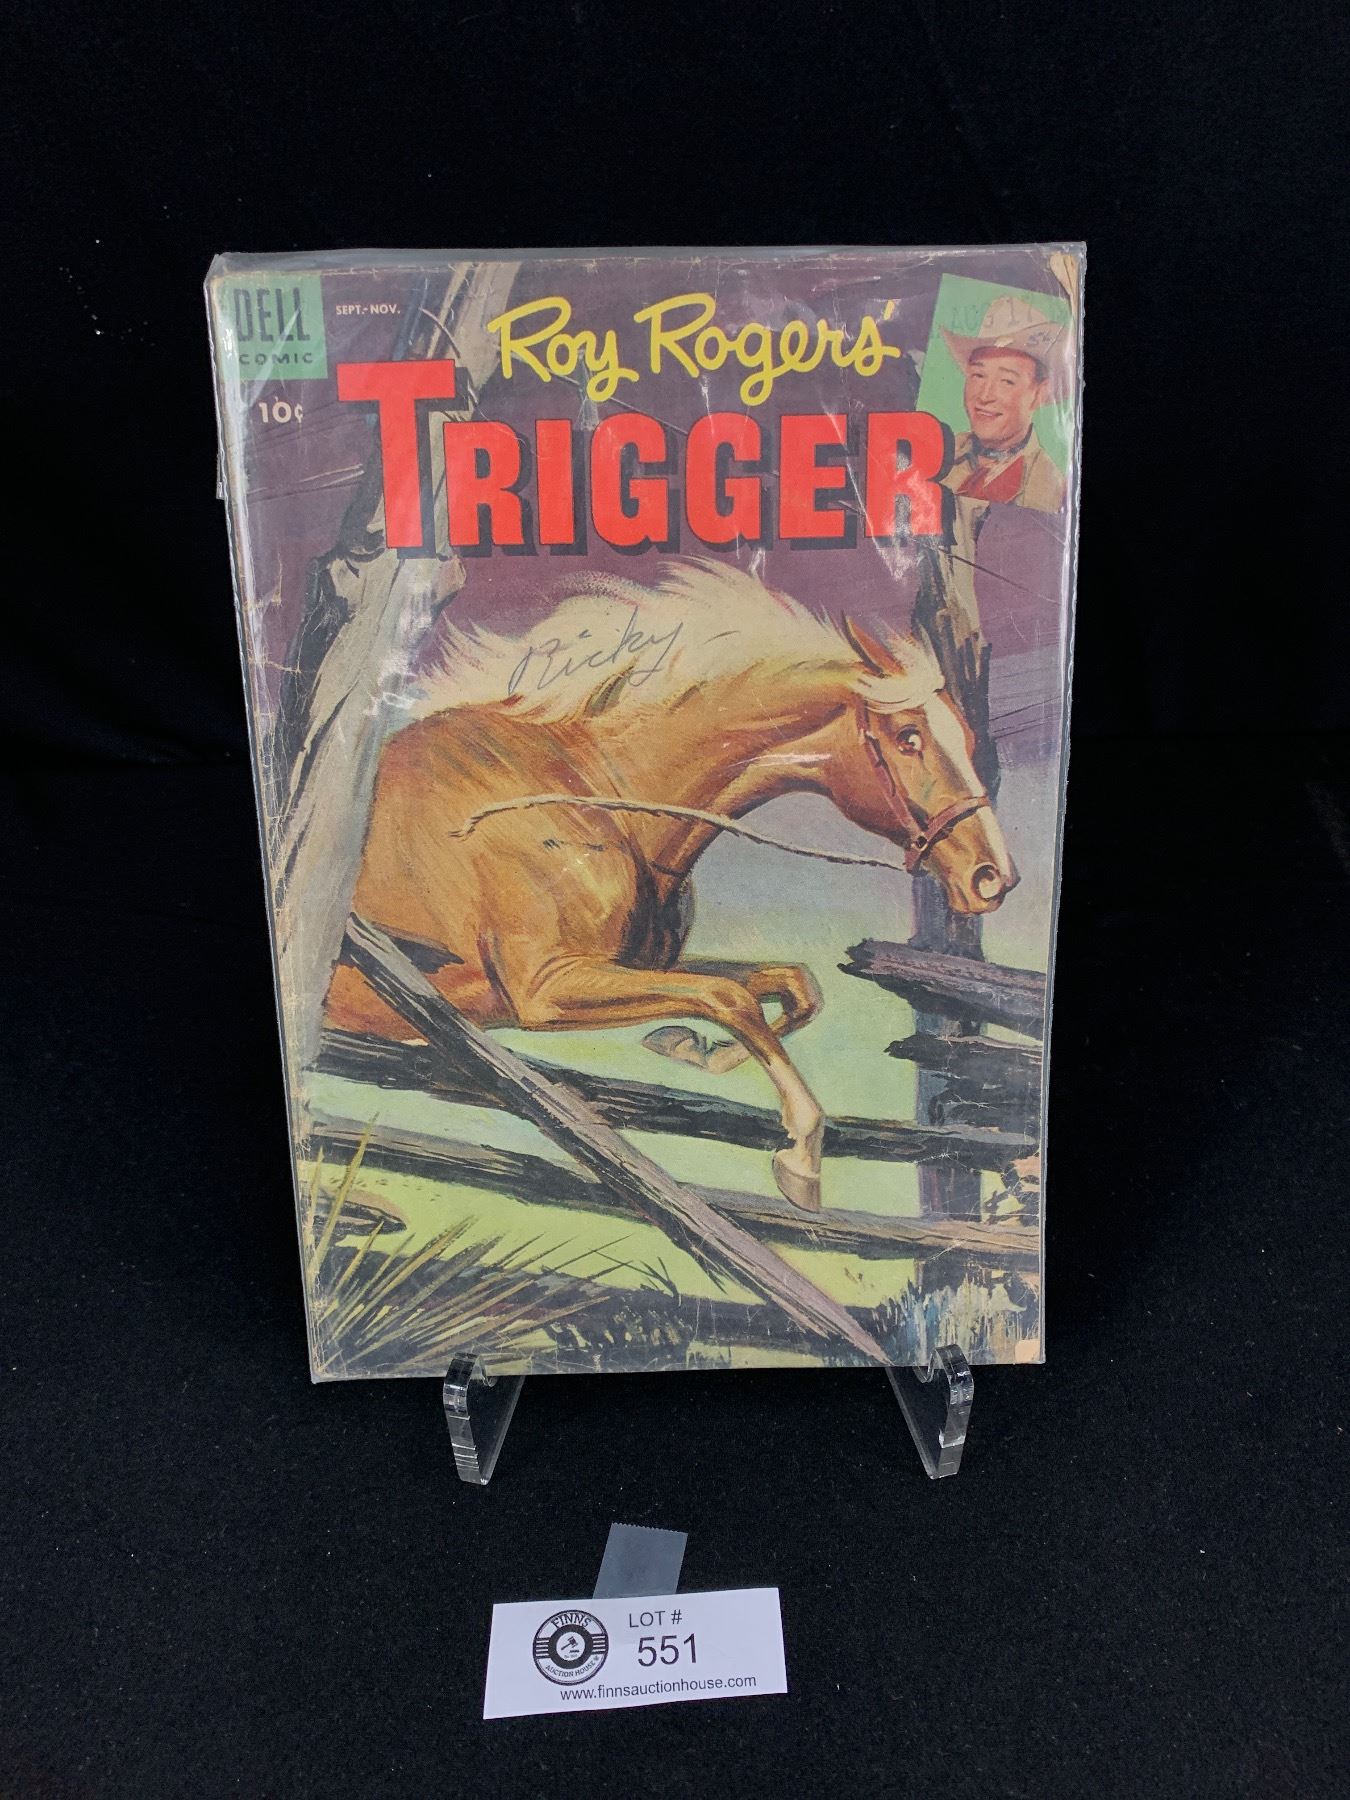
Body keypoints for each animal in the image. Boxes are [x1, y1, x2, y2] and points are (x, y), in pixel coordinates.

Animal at [323, 559, 1017, 1210]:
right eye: (908, 738)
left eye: (964, 736)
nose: (993, 879)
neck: (587, 795)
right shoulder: (545, 990)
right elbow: (727, 996)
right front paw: (801, 1152)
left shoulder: (637, 967)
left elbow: (788, 986)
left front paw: (694, 1051)